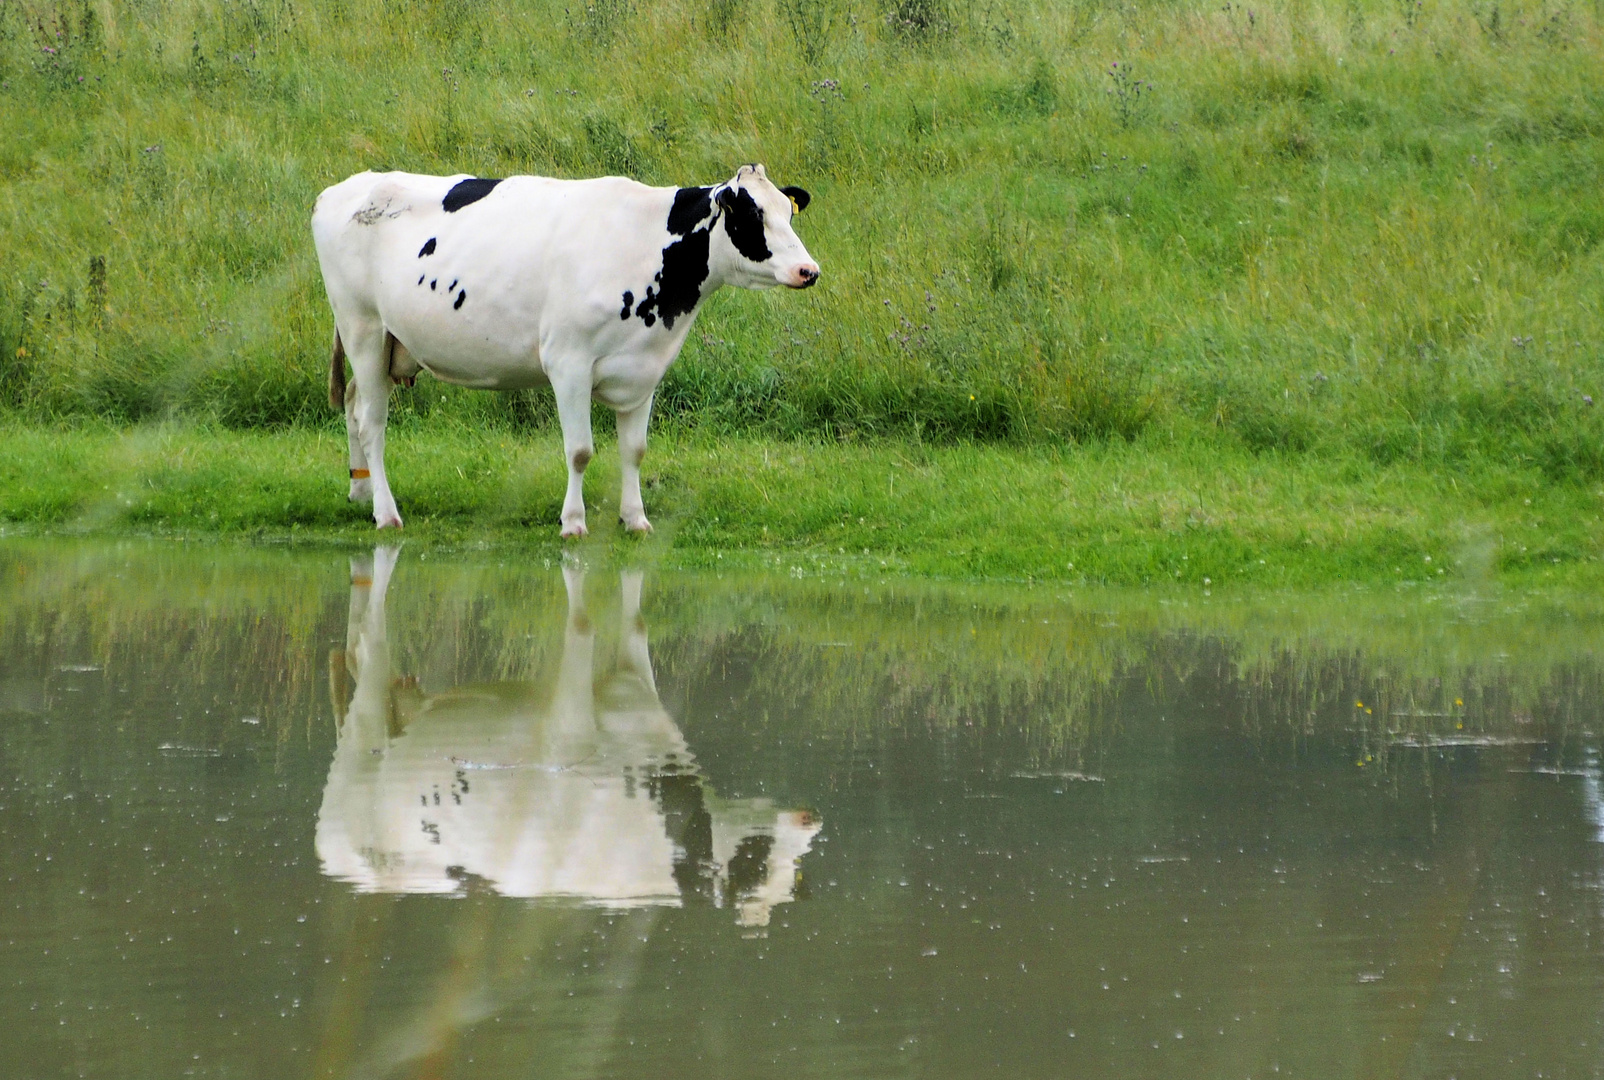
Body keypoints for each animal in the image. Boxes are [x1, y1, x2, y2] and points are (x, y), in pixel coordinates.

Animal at [311, 162, 821, 529]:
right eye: (751, 215)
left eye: (787, 212)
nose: (808, 270)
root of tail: (346, 186)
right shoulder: (568, 362)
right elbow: (580, 451)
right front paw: (573, 522)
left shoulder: (643, 370)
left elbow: (634, 451)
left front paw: (636, 520)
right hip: (362, 326)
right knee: (372, 424)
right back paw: (385, 512)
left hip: (391, 346)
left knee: (354, 405)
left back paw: (360, 492)